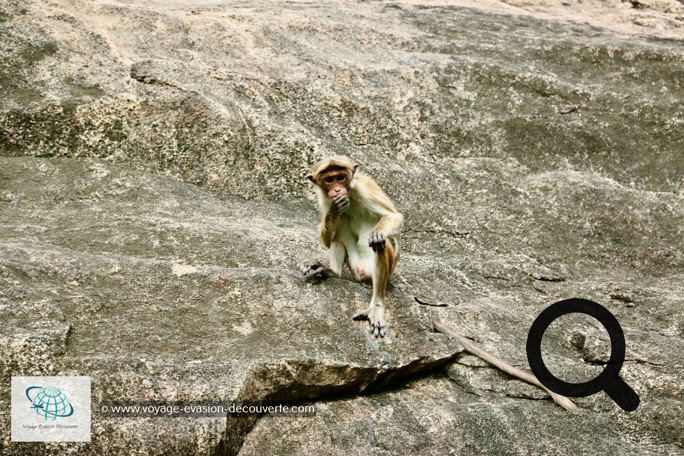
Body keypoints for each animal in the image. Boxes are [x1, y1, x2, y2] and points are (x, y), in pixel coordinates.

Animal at [300, 155, 403, 338]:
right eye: (329, 180)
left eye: (340, 177)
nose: (337, 190)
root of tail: (362, 273)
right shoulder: (325, 199)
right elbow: (327, 241)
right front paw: (335, 209)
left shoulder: (364, 188)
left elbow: (394, 217)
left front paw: (378, 233)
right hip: (354, 264)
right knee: (337, 235)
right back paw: (332, 271)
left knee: (381, 245)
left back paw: (376, 307)